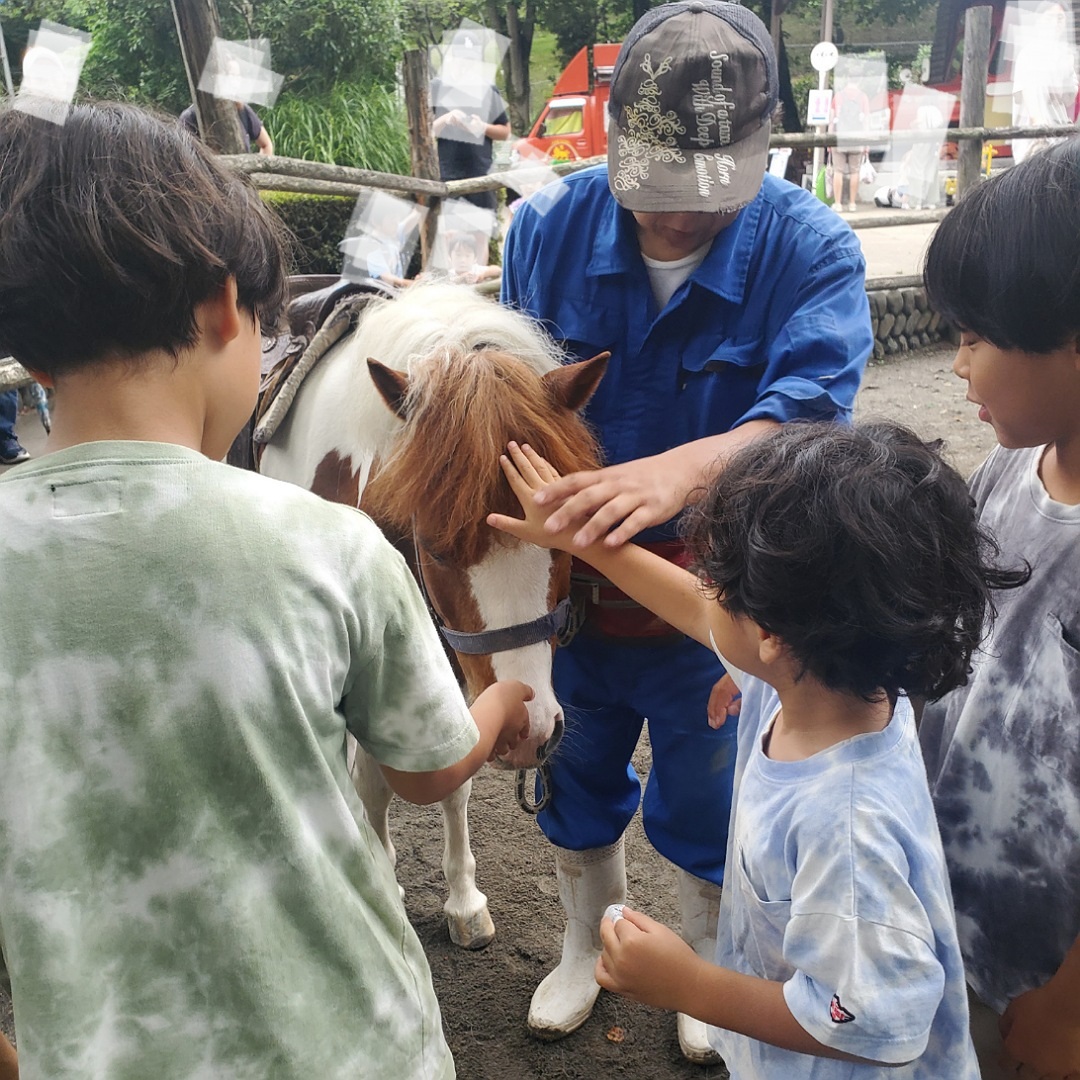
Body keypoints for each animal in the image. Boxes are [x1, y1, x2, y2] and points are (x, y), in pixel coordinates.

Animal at [255, 282, 604, 950]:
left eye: (565, 536)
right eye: (437, 545)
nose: (531, 729)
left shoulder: (456, 655)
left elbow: (456, 777)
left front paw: (464, 900)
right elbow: (370, 778)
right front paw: (383, 881)